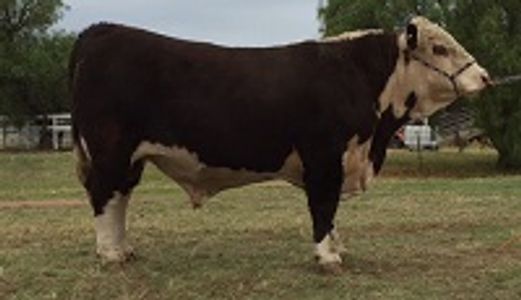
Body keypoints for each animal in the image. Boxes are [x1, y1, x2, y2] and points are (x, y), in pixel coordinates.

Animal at [71, 15, 490, 270]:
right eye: (439, 48)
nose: (485, 76)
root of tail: (101, 29)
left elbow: (331, 211)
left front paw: (337, 248)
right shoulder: (324, 156)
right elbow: (323, 206)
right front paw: (327, 257)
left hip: (130, 159)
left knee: (120, 197)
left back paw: (123, 249)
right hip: (111, 151)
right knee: (104, 195)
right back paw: (110, 254)